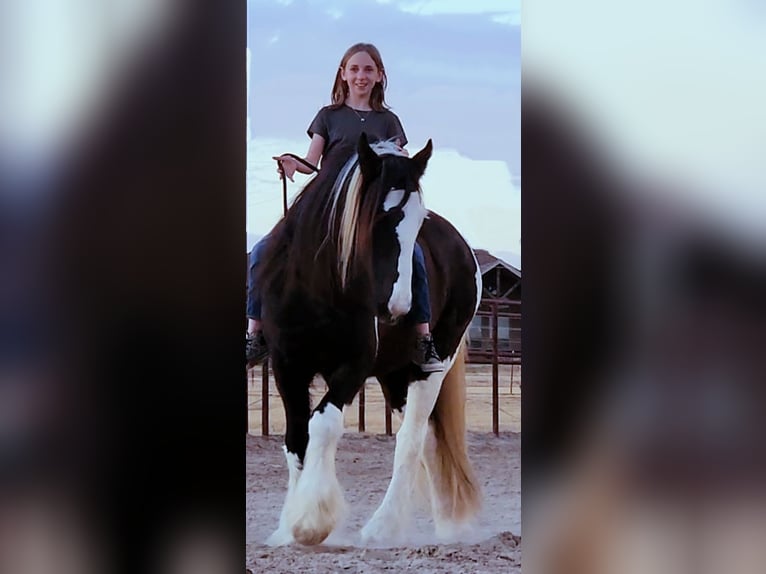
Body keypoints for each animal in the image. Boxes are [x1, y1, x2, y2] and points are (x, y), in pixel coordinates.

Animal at [260, 133, 484, 548]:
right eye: (379, 216)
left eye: (418, 221)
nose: (398, 307)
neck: (319, 289)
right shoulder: (286, 366)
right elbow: (296, 437)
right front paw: (286, 529)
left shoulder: (353, 366)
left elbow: (323, 426)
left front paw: (312, 522)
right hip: (395, 375)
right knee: (430, 441)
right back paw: (447, 526)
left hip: (430, 367)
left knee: (412, 439)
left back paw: (383, 527)